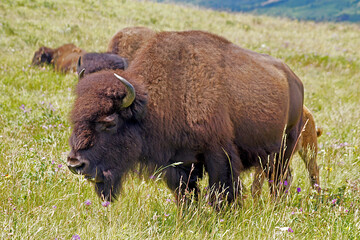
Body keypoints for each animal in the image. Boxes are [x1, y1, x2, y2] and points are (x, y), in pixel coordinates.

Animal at [67, 29, 304, 203]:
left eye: (109, 123)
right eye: (76, 119)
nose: (74, 163)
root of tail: (294, 79)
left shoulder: (218, 155)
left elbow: (221, 193)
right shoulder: (178, 164)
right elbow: (186, 197)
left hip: (285, 148)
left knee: (279, 180)